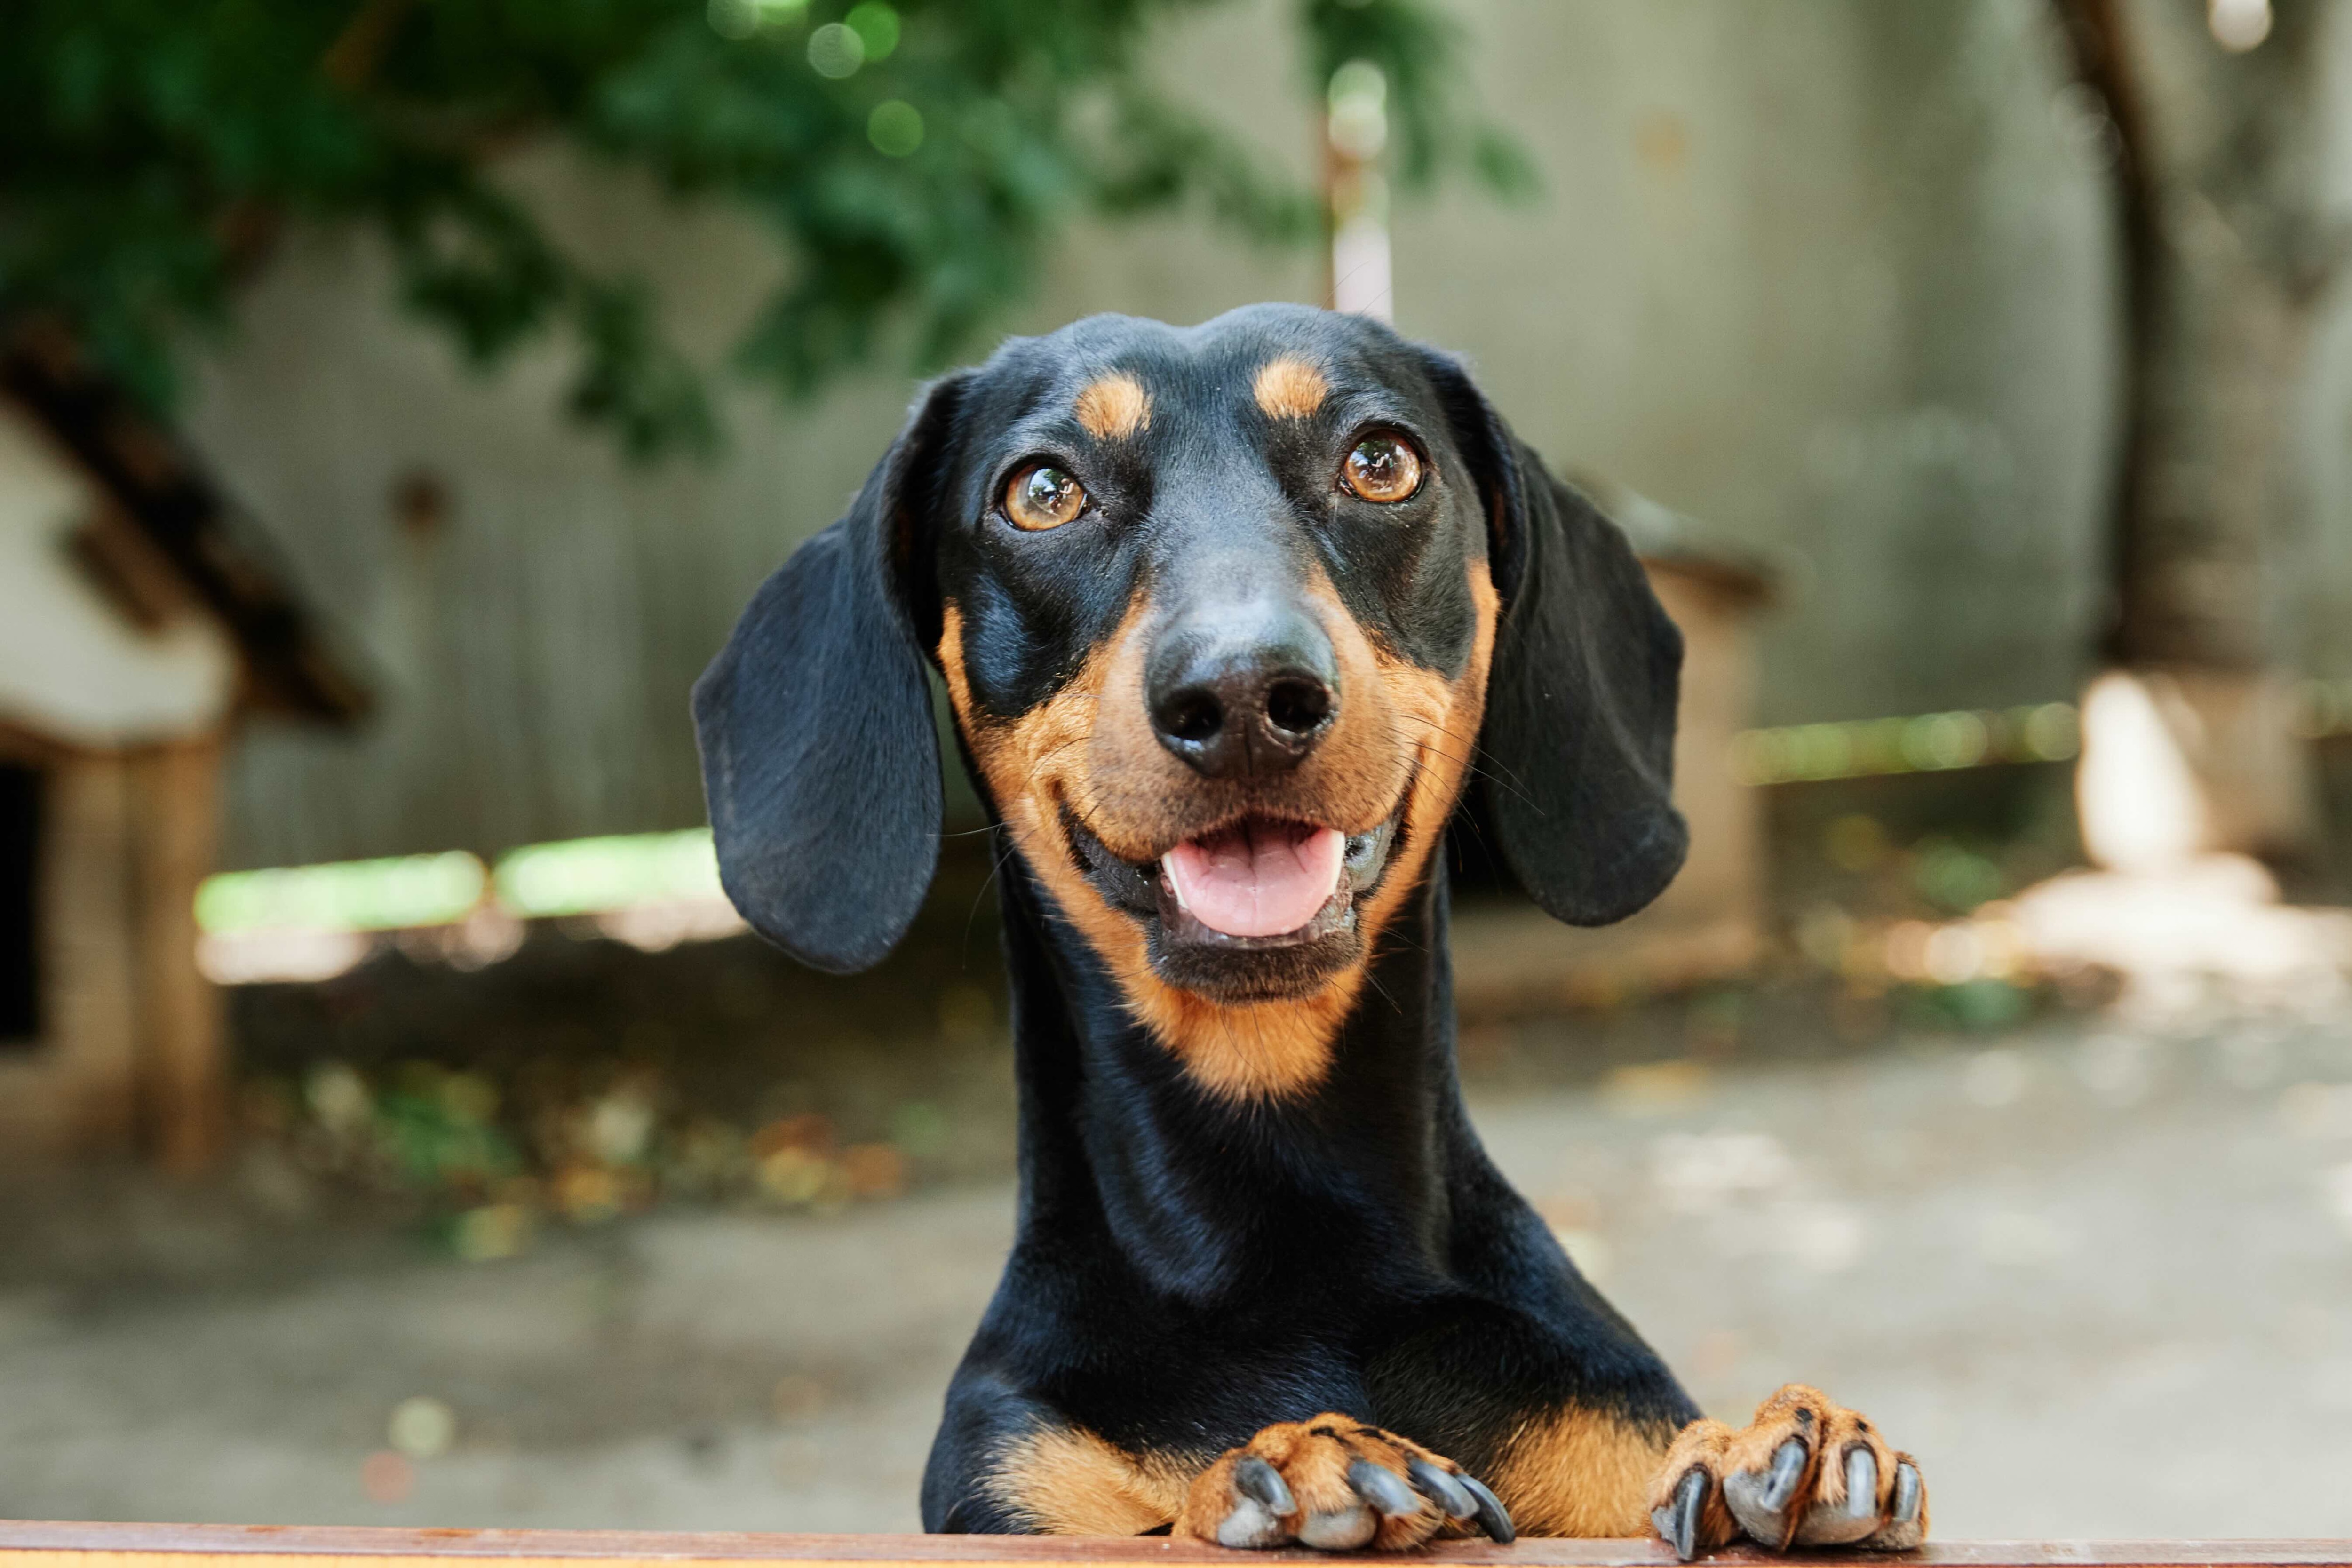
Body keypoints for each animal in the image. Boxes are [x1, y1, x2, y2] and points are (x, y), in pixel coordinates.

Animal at [691, 303, 1929, 1561]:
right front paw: (1291, 1466)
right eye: (1041, 490)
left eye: (1382, 463)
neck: (1281, 1217)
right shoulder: (1014, 1497)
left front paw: (1765, 1448)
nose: (1244, 693)